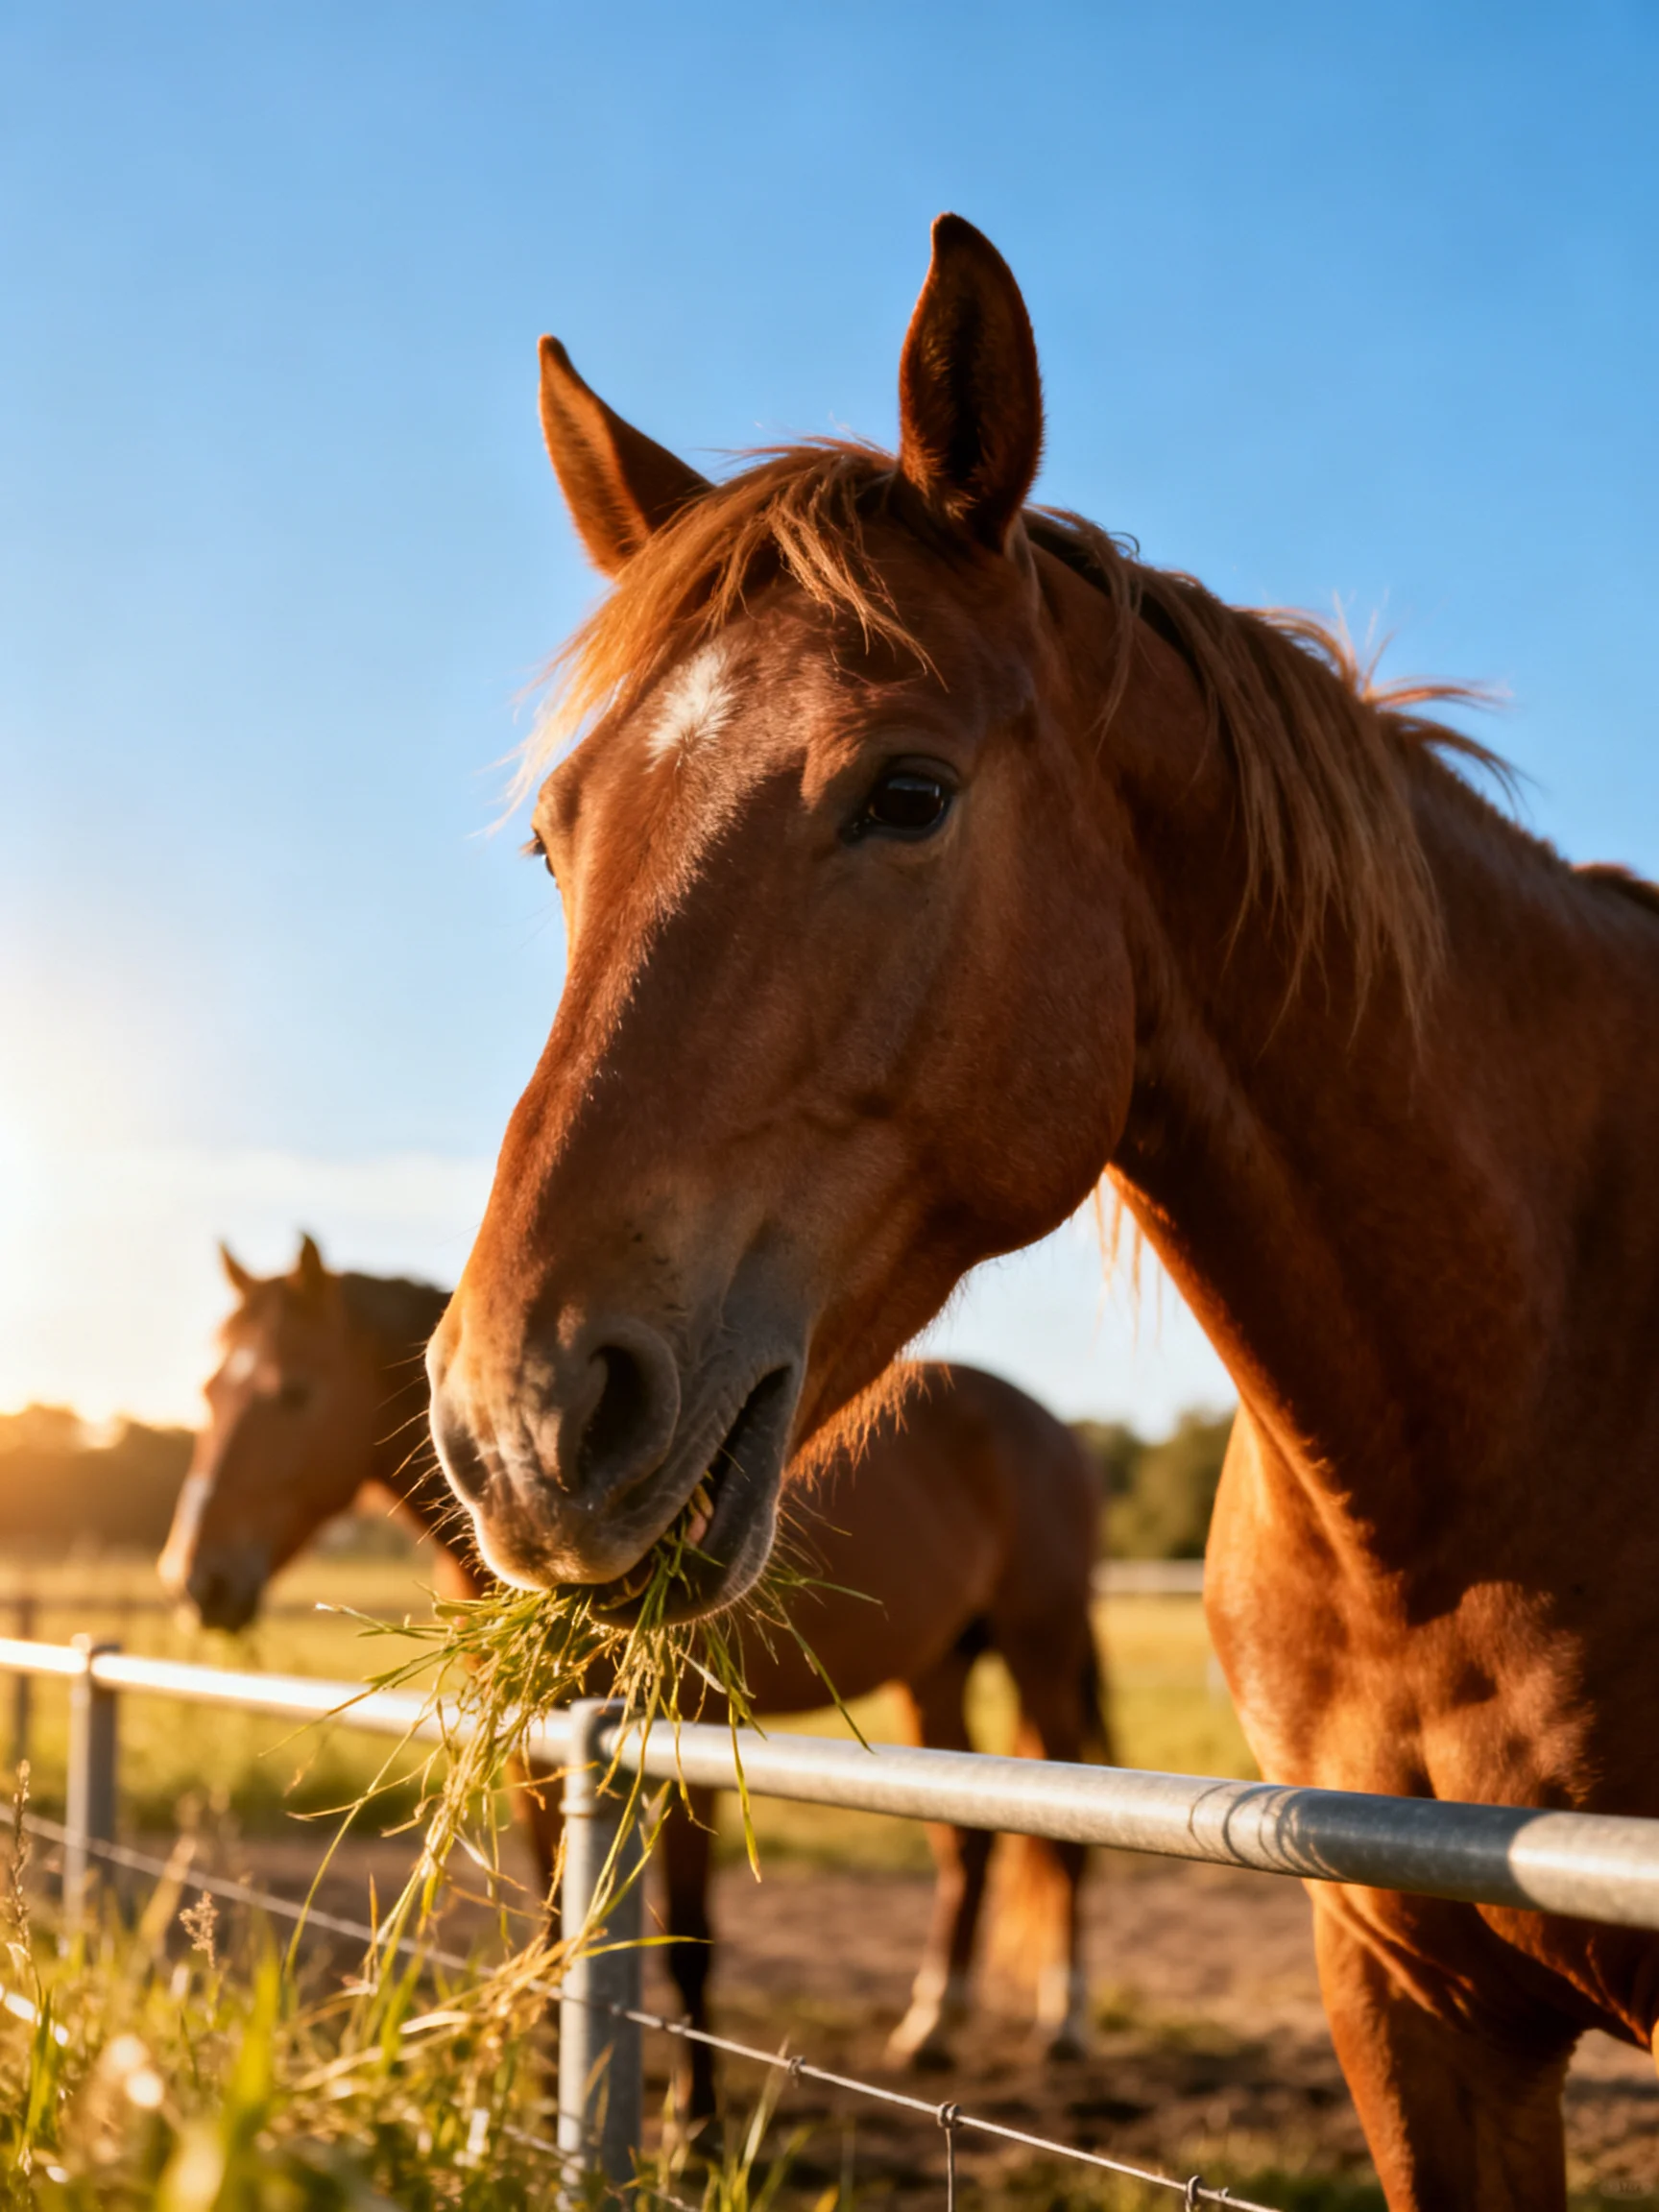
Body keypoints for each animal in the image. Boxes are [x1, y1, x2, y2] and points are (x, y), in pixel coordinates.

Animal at [159, 1235, 1108, 2108]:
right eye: (206, 1394)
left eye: (292, 1392)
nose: (195, 1579)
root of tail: (1046, 1426)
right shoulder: (534, 1748)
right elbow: (553, 1928)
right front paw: (549, 2090)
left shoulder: (691, 1743)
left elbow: (689, 1939)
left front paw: (698, 2122)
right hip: (936, 1670)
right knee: (970, 1842)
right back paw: (932, 2024)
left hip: (1041, 1648)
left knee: (1062, 1831)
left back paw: (1063, 2020)